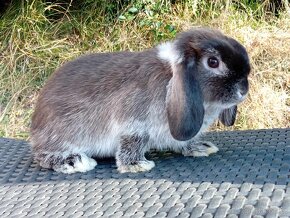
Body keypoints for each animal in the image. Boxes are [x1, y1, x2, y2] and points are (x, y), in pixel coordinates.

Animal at [30, 27, 250, 174]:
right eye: (213, 62)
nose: (243, 90)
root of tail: (35, 126)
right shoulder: (133, 124)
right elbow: (133, 142)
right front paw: (136, 165)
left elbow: (185, 142)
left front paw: (200, 148)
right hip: (61, 136)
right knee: (42, 156)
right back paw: (73, 161)